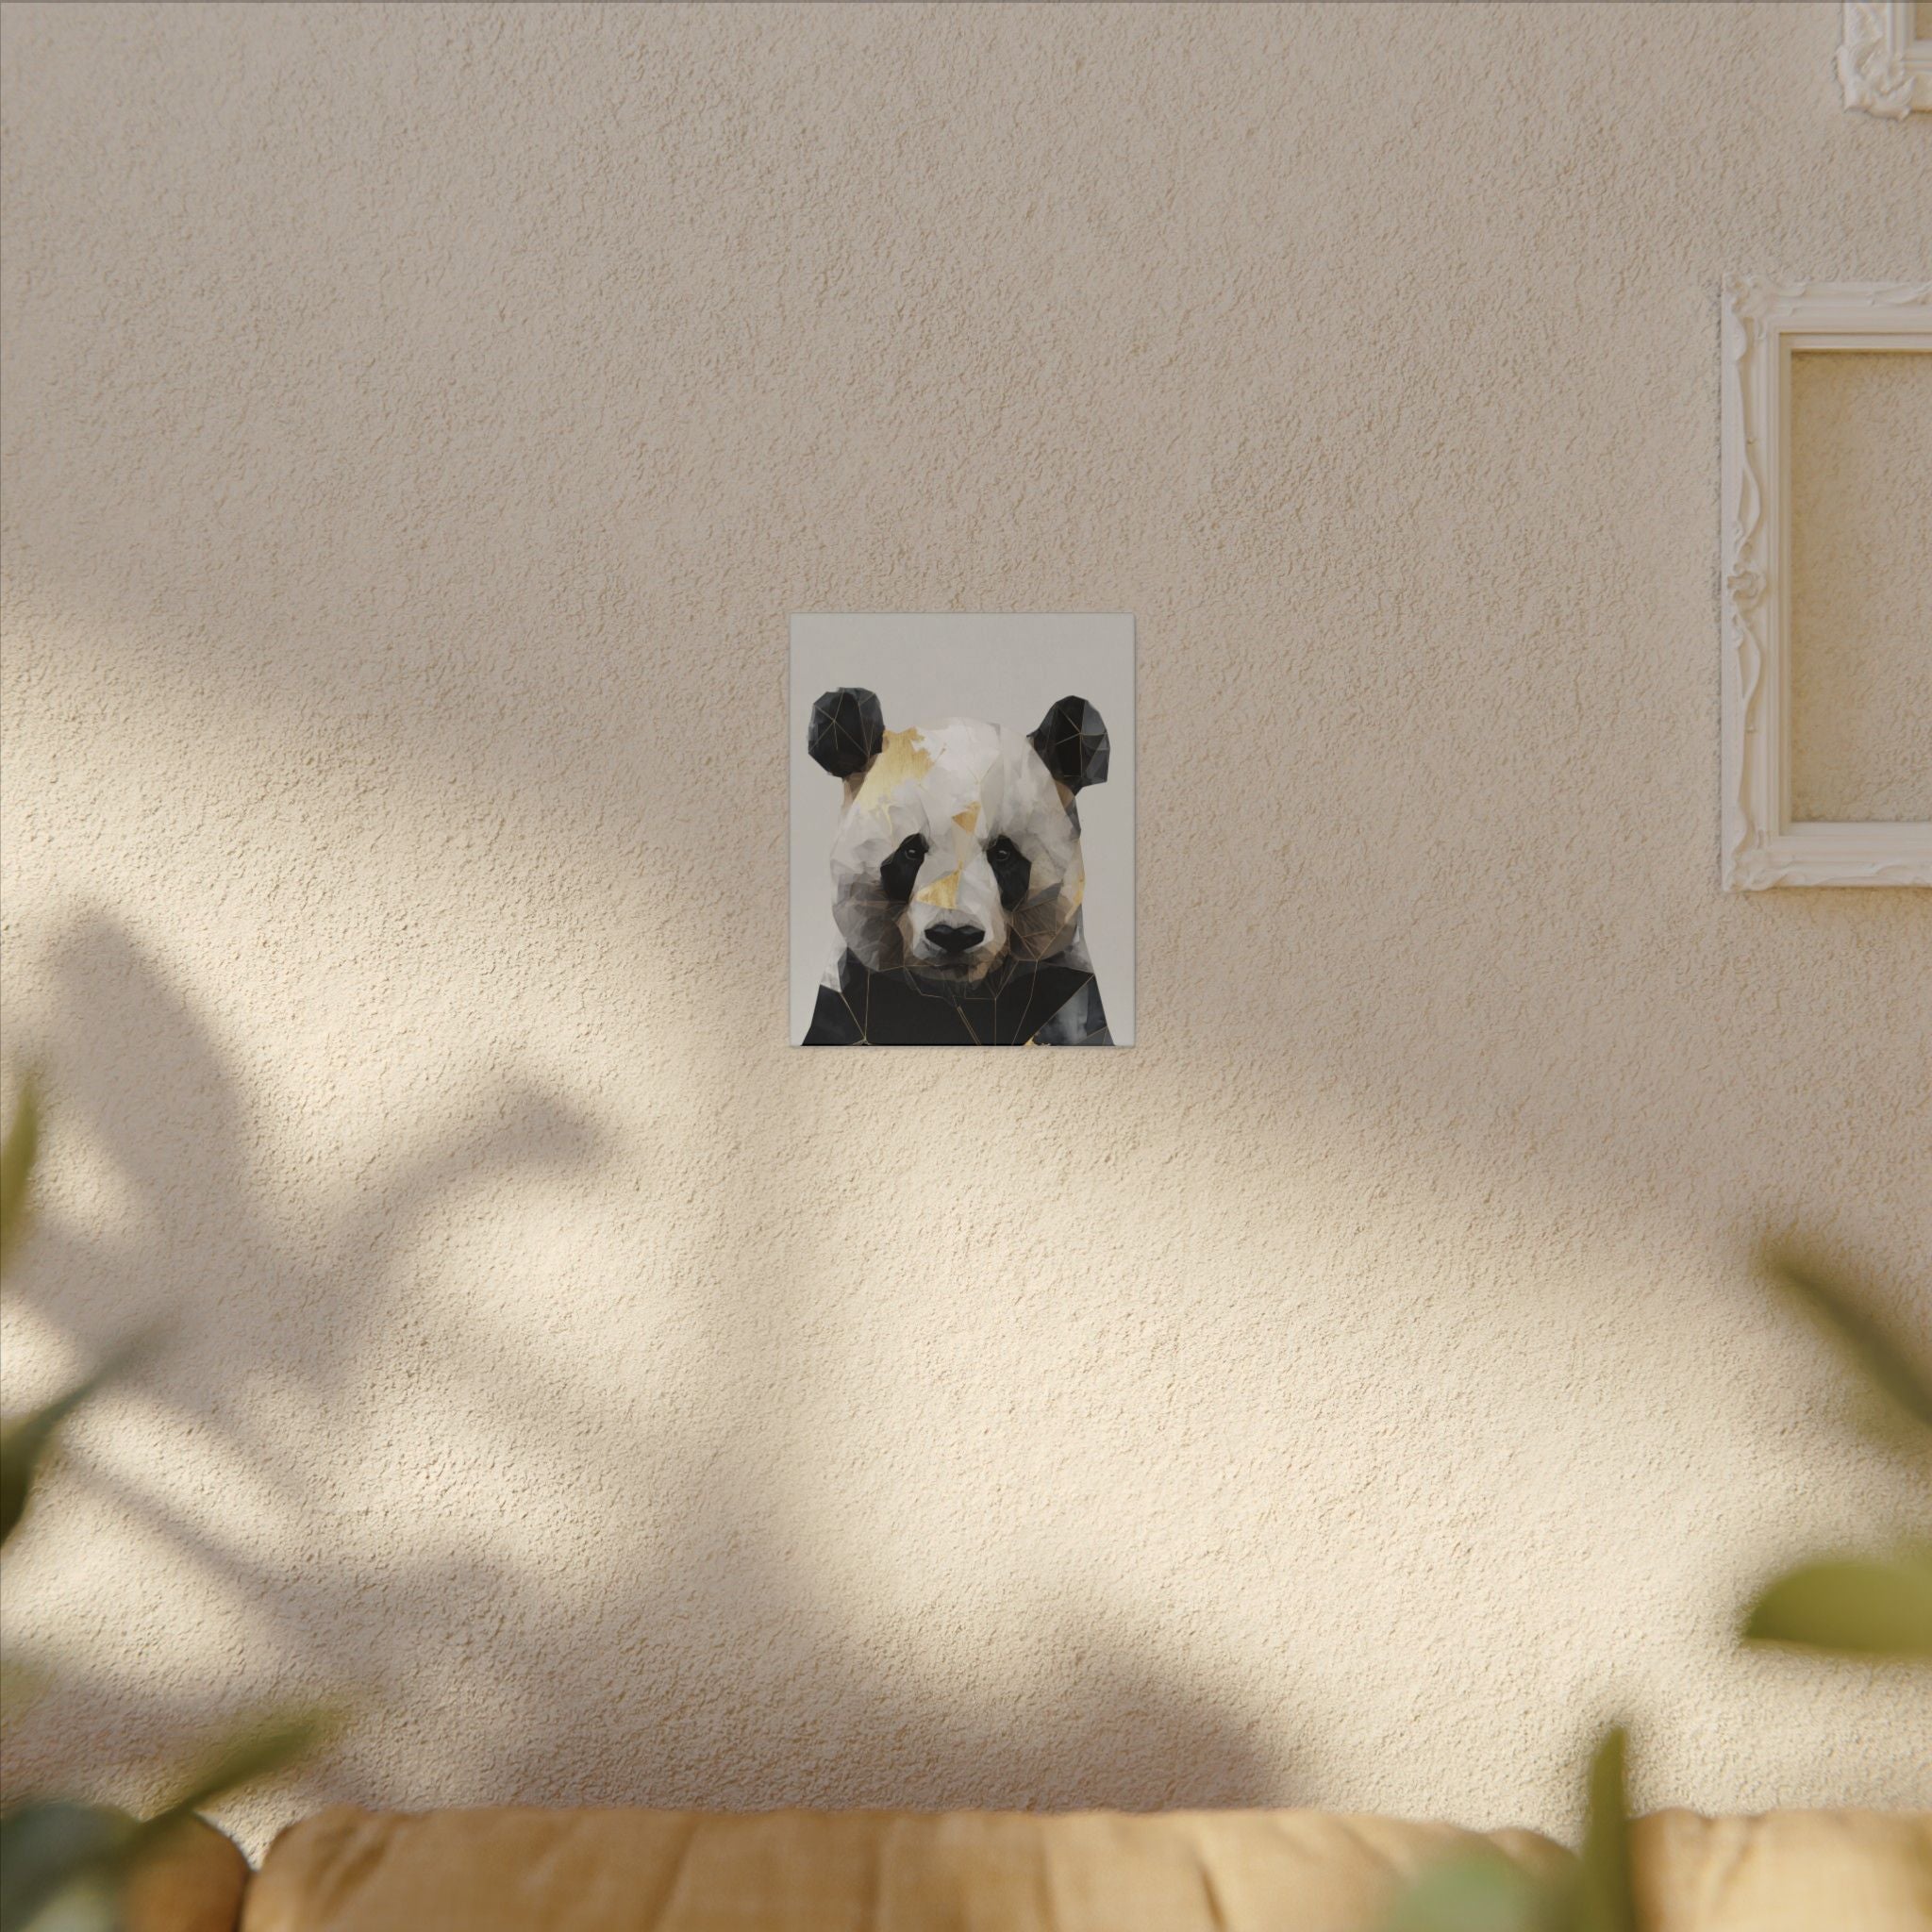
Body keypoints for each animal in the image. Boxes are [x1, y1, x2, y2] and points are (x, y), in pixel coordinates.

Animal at [801, 687, 1113, 1046]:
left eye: (1003, 853)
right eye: (911, 851)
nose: (954, 935)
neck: (960, 996)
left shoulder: (1061, 992)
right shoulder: (852, 1000)